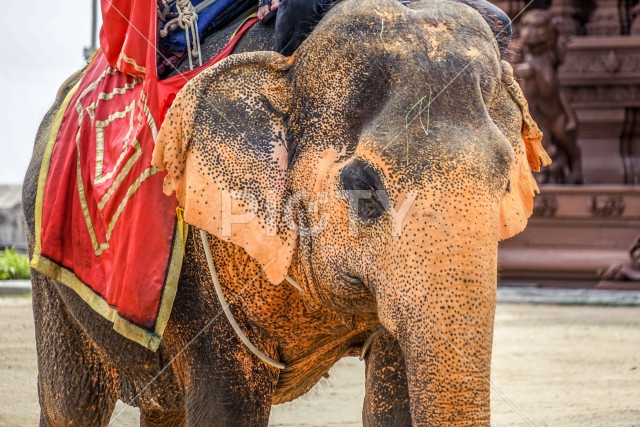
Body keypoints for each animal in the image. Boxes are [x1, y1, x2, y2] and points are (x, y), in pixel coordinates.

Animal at [22, 0, 548, 424]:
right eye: (362, 186)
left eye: (505, 181)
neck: (287, 68)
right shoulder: (204, 276)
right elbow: (225, 409)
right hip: (48, 270)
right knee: (72, 405)